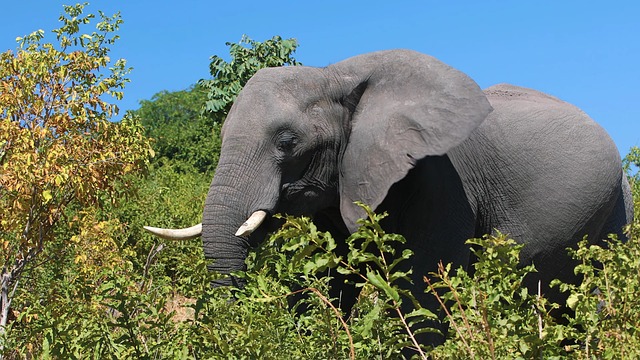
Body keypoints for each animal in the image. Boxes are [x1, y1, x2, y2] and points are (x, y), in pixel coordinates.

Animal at [144, 48, 632, 344]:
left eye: (286, 142)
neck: (334, 76)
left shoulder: (442, 179)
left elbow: (424, 290)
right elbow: (332, 280)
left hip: (615, 211)